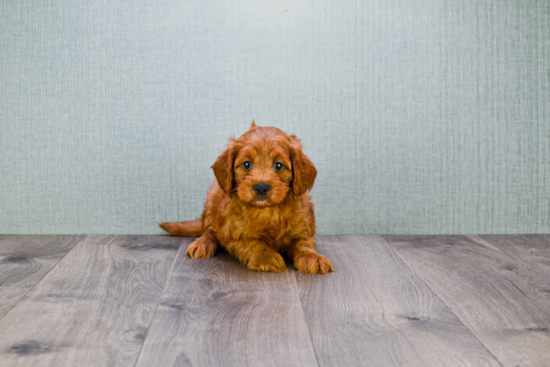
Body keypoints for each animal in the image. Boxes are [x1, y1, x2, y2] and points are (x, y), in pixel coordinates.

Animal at [157, 122, 334, 274]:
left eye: (278, 165)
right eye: (247, 164)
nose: (261, 187)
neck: (267, 211)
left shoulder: (303, 226)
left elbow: (305, 242)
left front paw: (313, 257)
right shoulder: (233, 233)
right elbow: (253, 243)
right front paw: (267, 257)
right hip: (213, 198)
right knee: (209, 230)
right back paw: (202, 244)